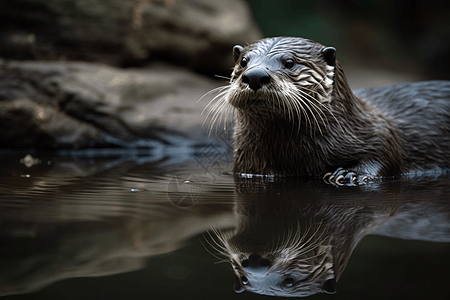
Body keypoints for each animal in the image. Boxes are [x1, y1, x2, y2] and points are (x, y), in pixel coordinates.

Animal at [207, 36, 450, 184]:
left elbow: (386, 155)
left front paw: (350, 173)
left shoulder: (380, 132)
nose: (255, 75)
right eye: (244, 61)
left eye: (289, 62)